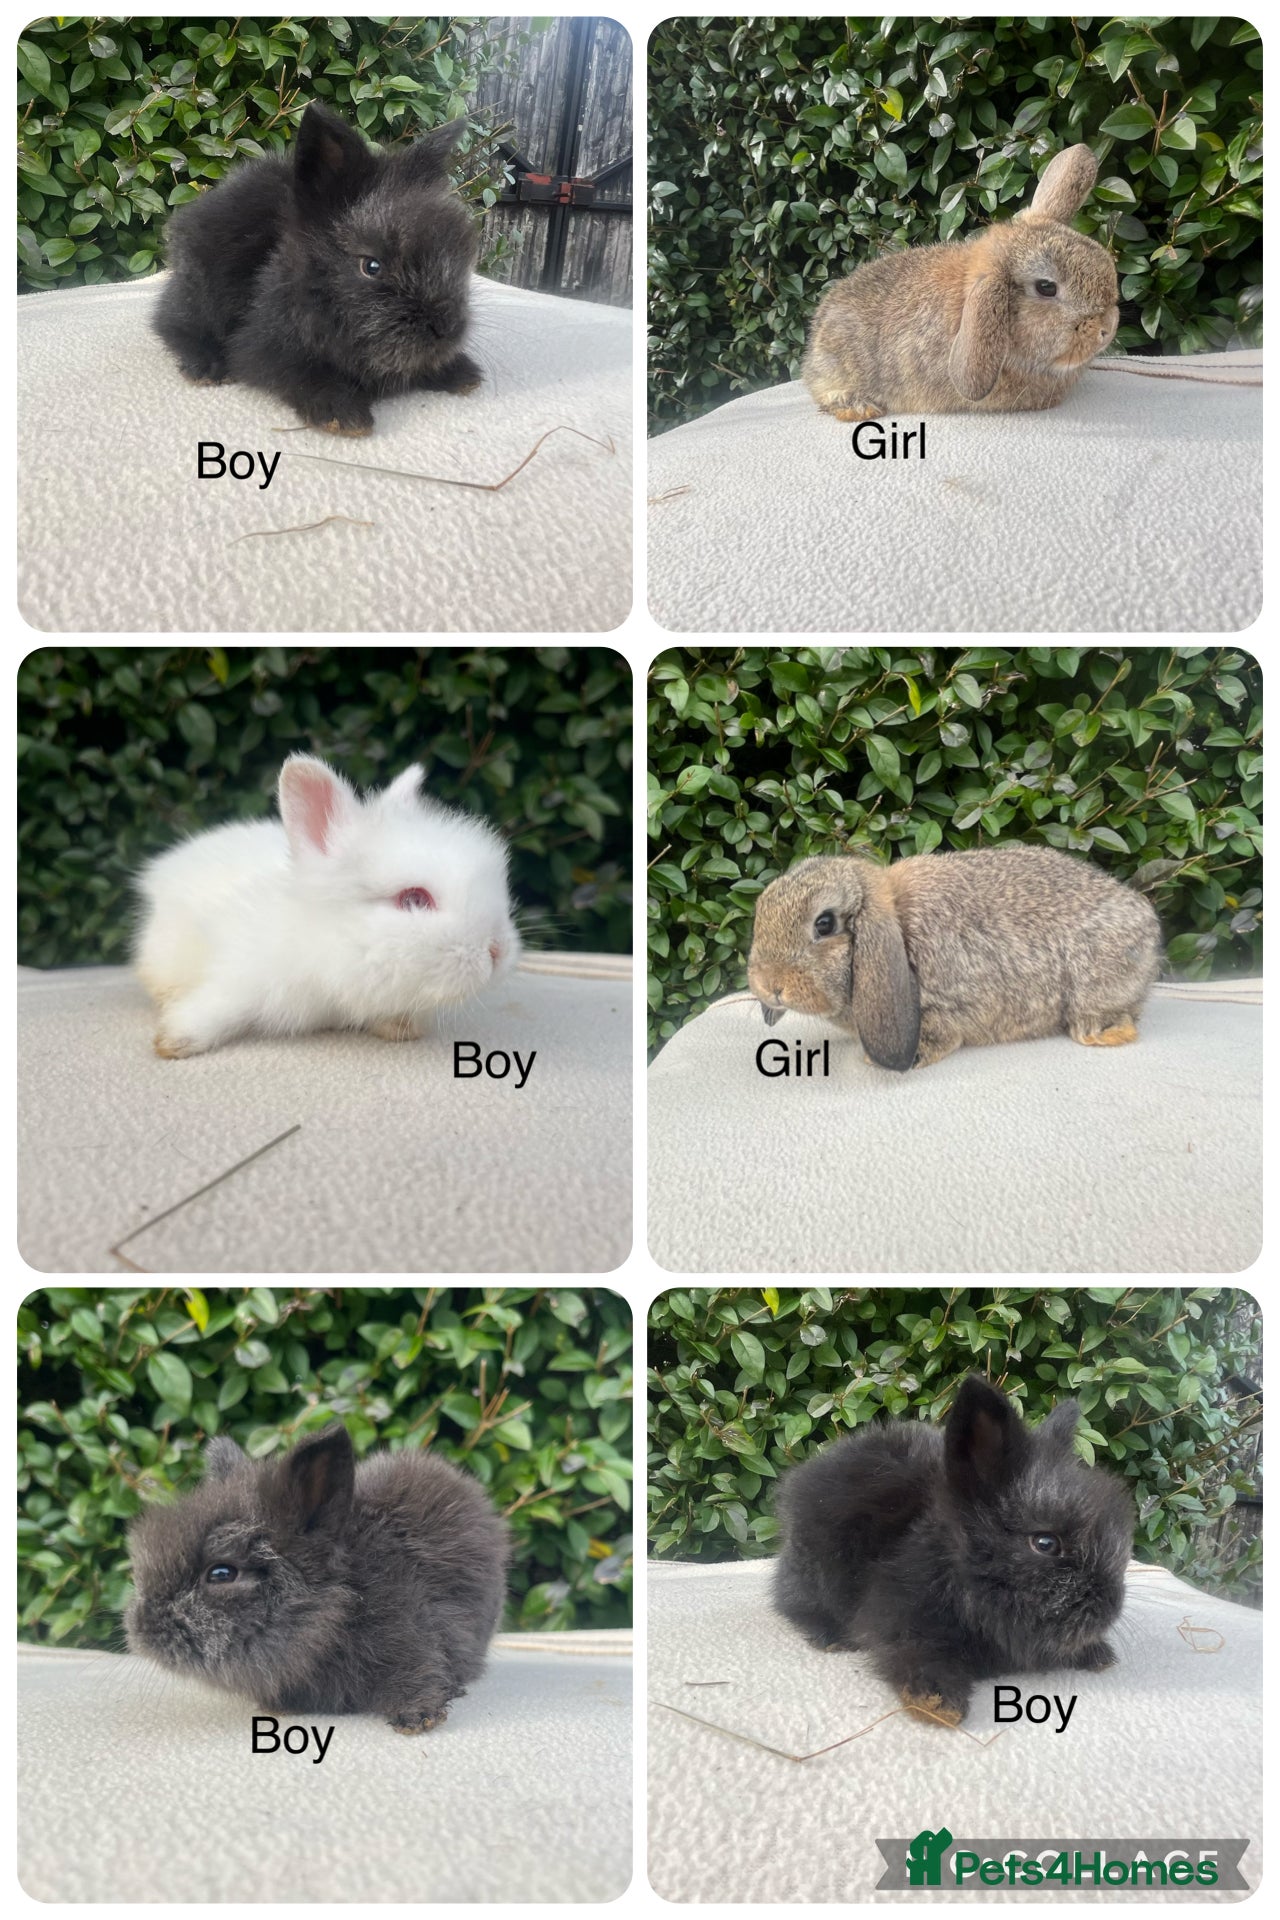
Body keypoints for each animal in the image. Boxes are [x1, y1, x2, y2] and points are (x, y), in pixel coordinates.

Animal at [125, 1422, 509, 1732]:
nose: (140, 1629)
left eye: (222, 1573)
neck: (342, 1609)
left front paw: (418, 1718)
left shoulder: (411, 1635)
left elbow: (418, 1677)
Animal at [134, 753, 519, 1057]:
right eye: (414, 899)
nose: (497, 951)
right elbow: (219, 1006)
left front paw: (400, 1029)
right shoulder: (241, 974)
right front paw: (174, 1041)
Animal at [152, 100, 481, 434]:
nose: (448, 327)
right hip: (200, 293)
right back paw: (206, 366)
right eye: (371, 266)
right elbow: (300, 374)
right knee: (169, 322)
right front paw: (343, 413)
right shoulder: (260, 348)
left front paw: (461, 372)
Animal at [772, 1375, 1135, 1725]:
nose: (1111, 1609)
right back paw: (830, 1636)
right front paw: (937, 1702)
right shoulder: (898, 1619)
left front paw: (1098, 1654)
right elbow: (915, 1653)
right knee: (790, 1602)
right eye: (1045, 1543)